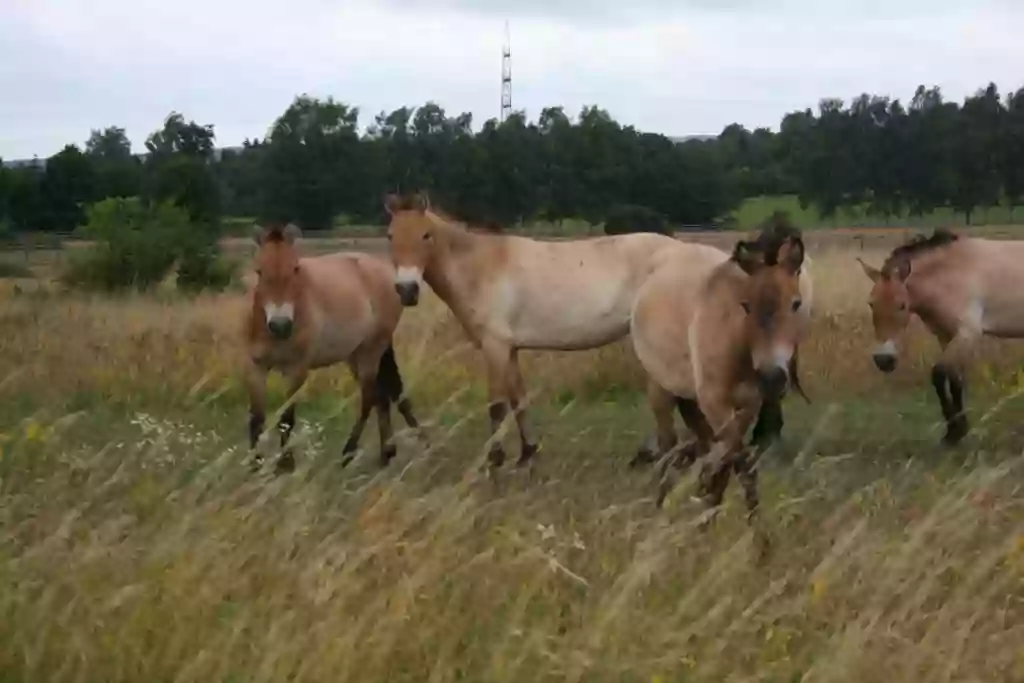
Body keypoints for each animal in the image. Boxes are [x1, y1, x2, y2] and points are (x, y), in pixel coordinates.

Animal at [243, 222, 419, 473]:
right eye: (259, 271)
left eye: (295, 268)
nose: (281, 325)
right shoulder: (254, 367)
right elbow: (256, 418)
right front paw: (254, 466)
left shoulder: (296, 370)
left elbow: (287, 419)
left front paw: (285, 465)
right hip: (355, 354)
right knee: (381, 397)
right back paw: (386, 454)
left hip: (370, 350)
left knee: (369, 398)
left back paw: (348, 454)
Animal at [385, 192, 712, 471]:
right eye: (390, 235)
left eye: (425, 235)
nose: (406, 290)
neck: (483, 266)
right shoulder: (510, 349)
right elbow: (518, 400)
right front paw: (527, 454)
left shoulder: (495, 346)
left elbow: (497, 406)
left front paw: (494, 460)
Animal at [626, 219, 811, 518]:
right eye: (746, 306)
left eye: (796, 303)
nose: (772, 378)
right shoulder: (716, 403)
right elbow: (736, 460)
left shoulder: (748, 404)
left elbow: (729, 461)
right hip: (662, 391)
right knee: (668, 448)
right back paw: (661, 507)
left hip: (692, 401)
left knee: (702, 444)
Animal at [856, 227, 1024, 446]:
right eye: (871, 303)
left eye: (902, 305)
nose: (884, 360)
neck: (951, 273)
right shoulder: (945, 335)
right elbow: (955, 379)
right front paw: (957, 430)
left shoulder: (967, 333)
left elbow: (939, 373)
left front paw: (955, 432)